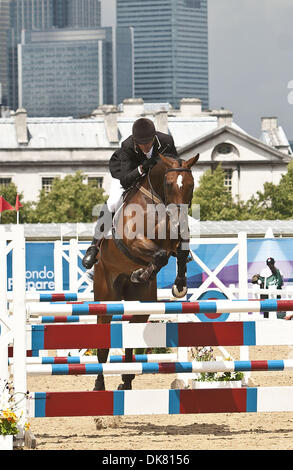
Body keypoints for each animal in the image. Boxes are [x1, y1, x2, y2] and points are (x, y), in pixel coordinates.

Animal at [93, 152, 198, 392]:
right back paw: (100, 385)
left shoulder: (174, 240)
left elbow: (174, 254)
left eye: (191, 184)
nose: (179, 218)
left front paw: (178, 285)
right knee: (102, 346)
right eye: (169, 184)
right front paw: (141, 272)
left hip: (142, 305)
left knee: (132, 336)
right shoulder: (134, 241)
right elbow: (159, 255)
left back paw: (127, 380)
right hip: (106, 299)